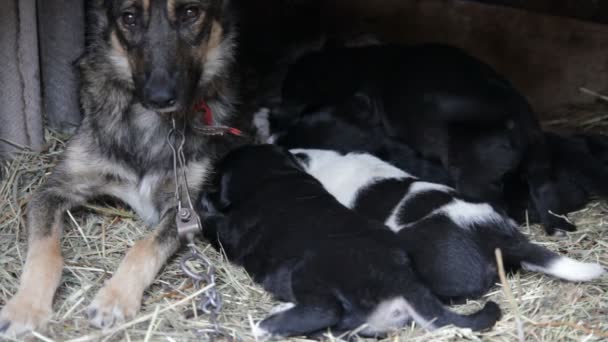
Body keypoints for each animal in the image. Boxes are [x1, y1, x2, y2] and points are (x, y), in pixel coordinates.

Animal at [0, 0, 242, 336]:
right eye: (129, 17)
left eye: (190, 13)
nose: (159, 96)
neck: (146, 123)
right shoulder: (54, 189)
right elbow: (43, 250)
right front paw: (26, 306)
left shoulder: (185, 209)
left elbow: (144, 248)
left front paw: (114, 299)